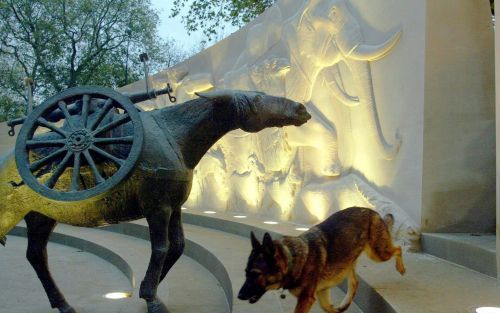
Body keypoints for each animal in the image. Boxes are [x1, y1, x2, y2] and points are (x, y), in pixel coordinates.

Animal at [238, 206, 406, 310]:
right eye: (245, 273)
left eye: (255, 274)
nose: (239, 296)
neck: (293, 259)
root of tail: (372, 211)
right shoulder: (321, 293)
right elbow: (327, 308)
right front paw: (336, 309)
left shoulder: (306, 299)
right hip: (348, 261)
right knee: (355, 282)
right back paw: (344, 305)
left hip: (378, 254)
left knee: (398, 249)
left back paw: (401, 268)